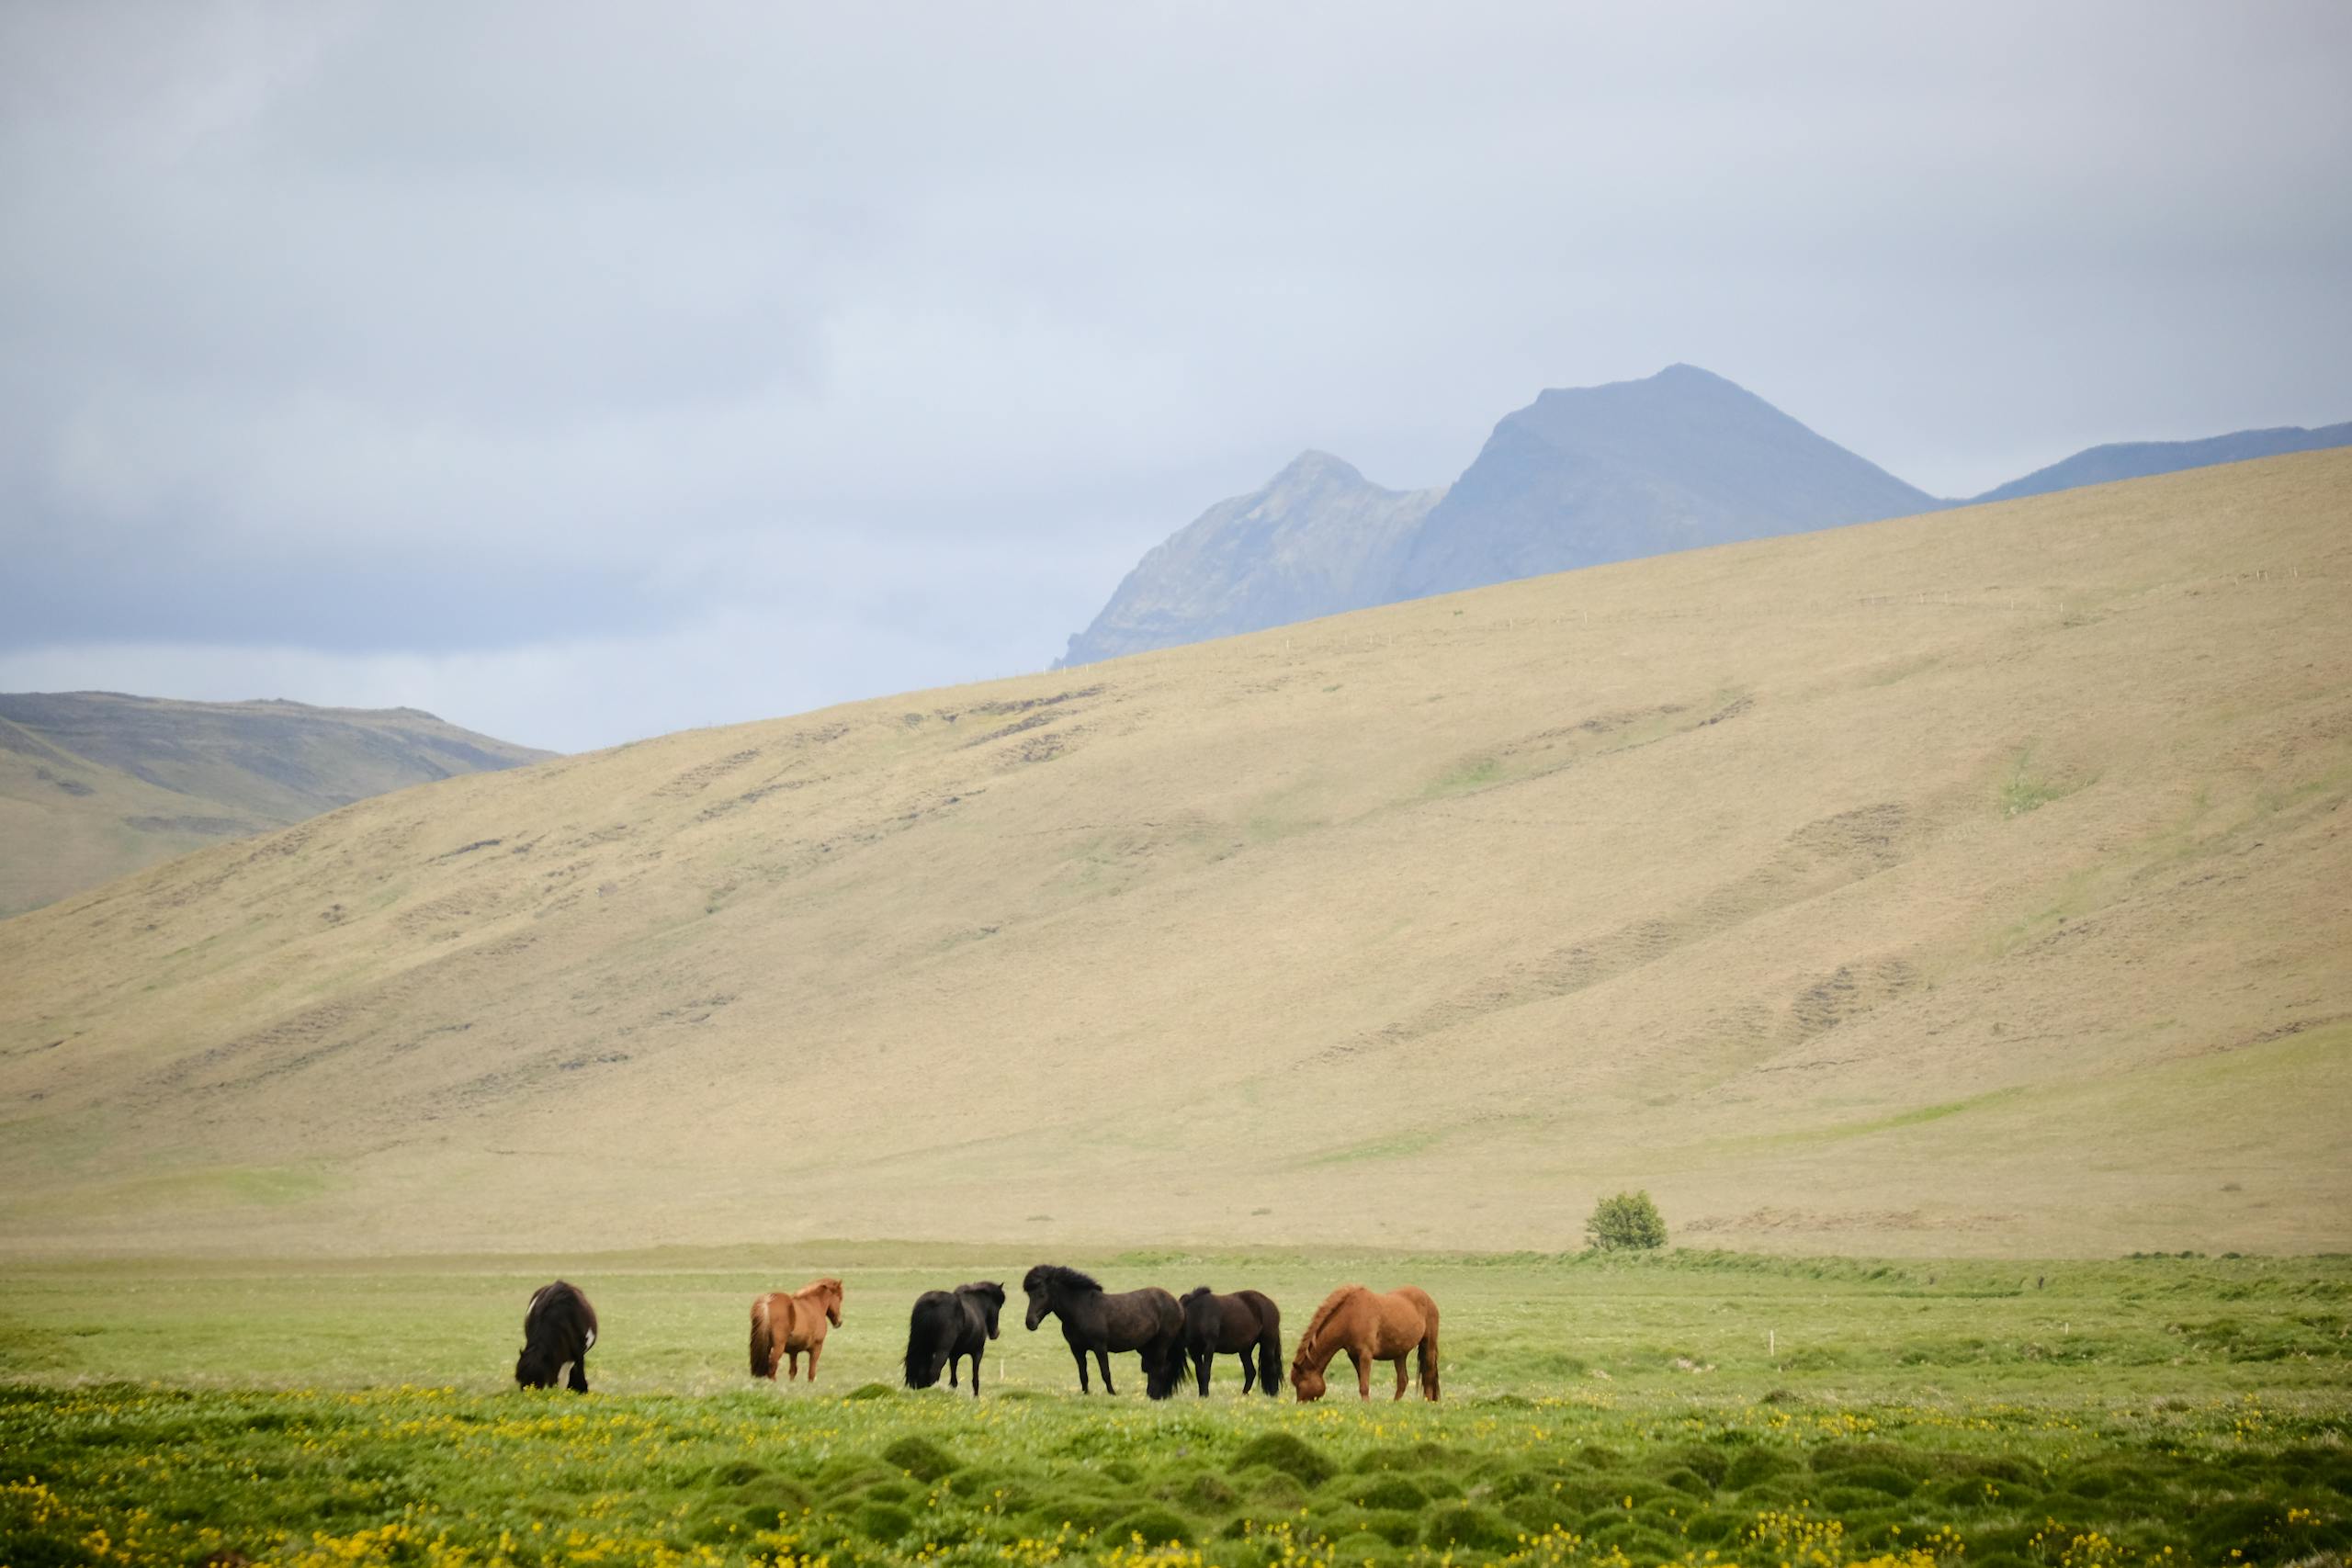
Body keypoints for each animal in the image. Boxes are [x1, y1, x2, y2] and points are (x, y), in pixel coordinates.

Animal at [1021, 1264, 1184, 1398]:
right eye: (1029, 1295)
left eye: (1042, 1294)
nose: (1030, 1323)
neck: (1082, 1309)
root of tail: (1176, 1303)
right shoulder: (1077, 1349)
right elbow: (1083, 1373)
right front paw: (1086, 1393)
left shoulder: (1099, 1347)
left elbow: (1105, 1372)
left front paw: (1112, 1393)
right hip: (1146, 1346)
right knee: (1154, 1369)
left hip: (1162, 1344)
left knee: (1160, 1368)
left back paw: (1156, 1395)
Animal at [1288, 1284, 1439, 1402]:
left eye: (1300, 1384)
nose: (1299, 1404)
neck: (1350, 1316)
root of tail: (1428, 1298)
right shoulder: (1354, 1356)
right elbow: (1362, 1382)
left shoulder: (1366, 1354)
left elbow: (1364, 1385)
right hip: (1400, 1353)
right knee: (1403, 1380)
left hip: (1429, 1346)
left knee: (1429, 1375)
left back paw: (1428, 1402)